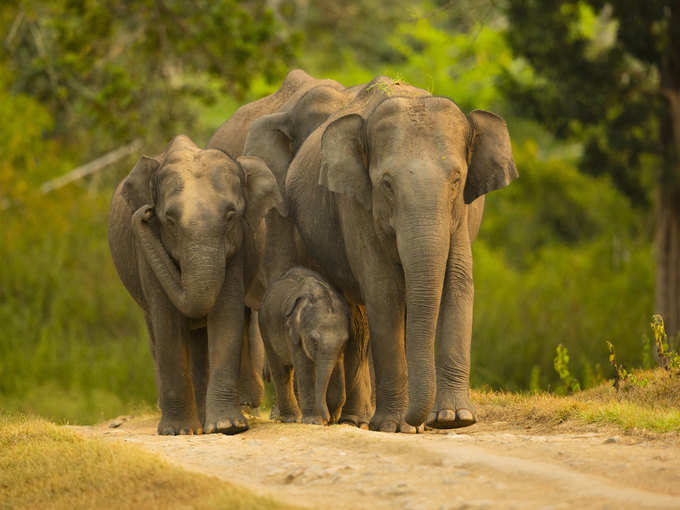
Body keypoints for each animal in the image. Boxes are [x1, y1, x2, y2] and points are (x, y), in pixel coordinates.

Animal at [109, 135, 284, 434]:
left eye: (231, 216)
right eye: (168, 220)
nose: (144, 213)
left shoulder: (238, 248)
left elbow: (226, 314)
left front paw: (227, 427)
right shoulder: (146, 253)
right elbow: (167, 320)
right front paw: (178, 431)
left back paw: (204, 421)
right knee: (158, 332)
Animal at [258, 264, 348, 424]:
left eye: (345, 341)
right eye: (313, 340)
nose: (327, 418)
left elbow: (338, 368)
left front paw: (333, 418)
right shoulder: (294, 334)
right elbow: (305, 369)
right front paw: (314, 421)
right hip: (265, 326)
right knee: (281, 371)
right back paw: (291, 418)